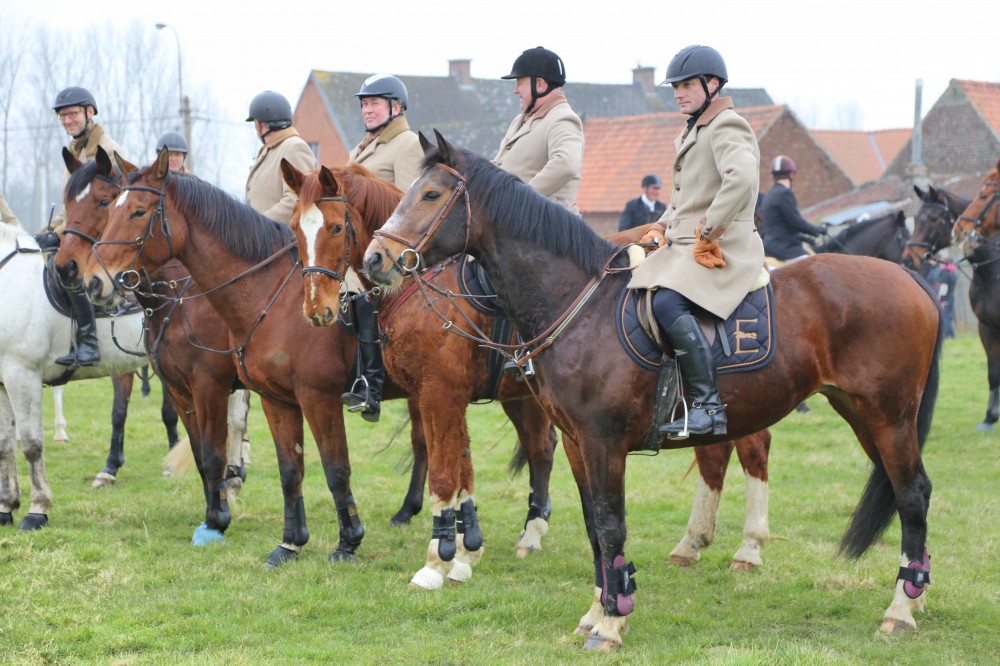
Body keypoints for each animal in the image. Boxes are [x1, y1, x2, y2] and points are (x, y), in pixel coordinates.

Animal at [79, 148, 430, 564]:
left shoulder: (290, 394)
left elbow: (330, 468)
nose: (92, 281)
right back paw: (409, 511)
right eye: (111, 207)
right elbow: (273, 467)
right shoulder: (242, 396)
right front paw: (285, 541)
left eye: (136, 211)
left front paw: (346, 542)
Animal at [282, 158, 772, 580]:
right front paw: (466, 547)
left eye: (336, 227)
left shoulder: (442, 391)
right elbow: (461, 462)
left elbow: (446, 466)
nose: (316, 307)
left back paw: (747, 548)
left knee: (751, 448)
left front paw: (448, 553)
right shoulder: (443, 395)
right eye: (294, 227)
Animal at [364, 131, 940, 648]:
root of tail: (910, 279)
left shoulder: (603, 442)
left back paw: (900, 610)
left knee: (911, 495)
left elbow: (611, 526)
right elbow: (595, 526)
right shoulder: (576, 441)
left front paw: (612, 623)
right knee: (901, 489)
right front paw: (597, 612)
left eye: (431, 194)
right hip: (862, 414)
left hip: (888, 416)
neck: (581, 305)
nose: (374, 260)